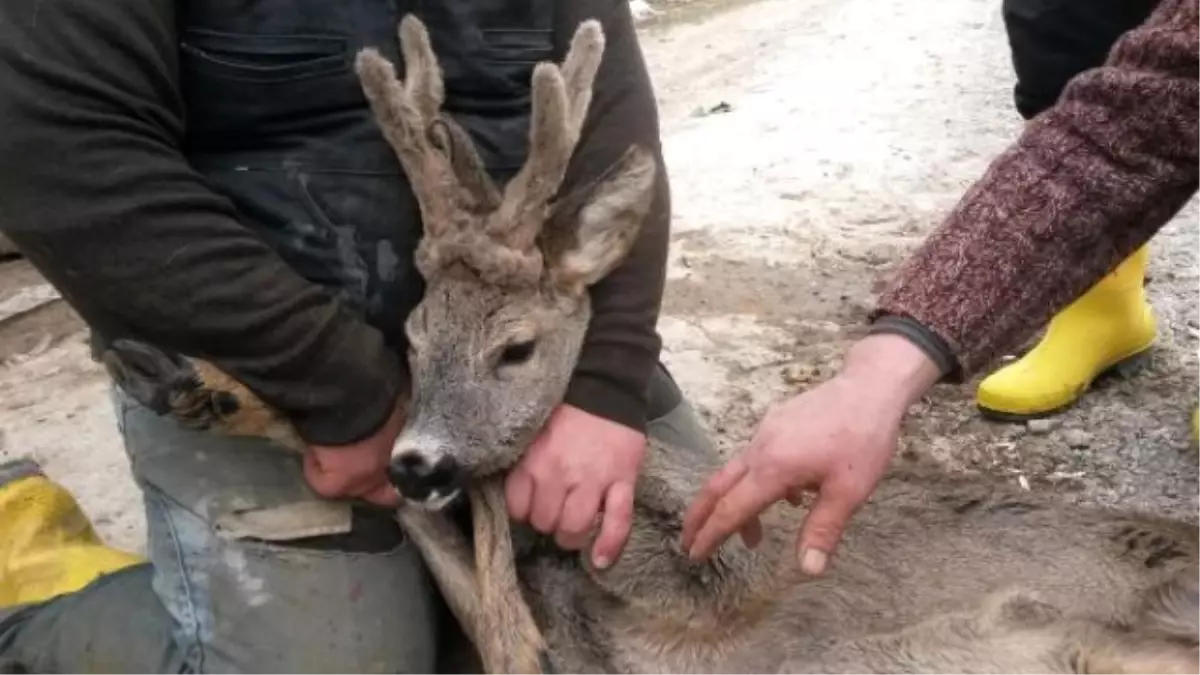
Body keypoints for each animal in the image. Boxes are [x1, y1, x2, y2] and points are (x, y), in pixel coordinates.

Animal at [100, 11, 1200, 672]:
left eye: (515, 348)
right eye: (410, 336)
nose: (412, 460)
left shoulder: (663, 601)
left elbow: (501, 583)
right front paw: (191, 377)